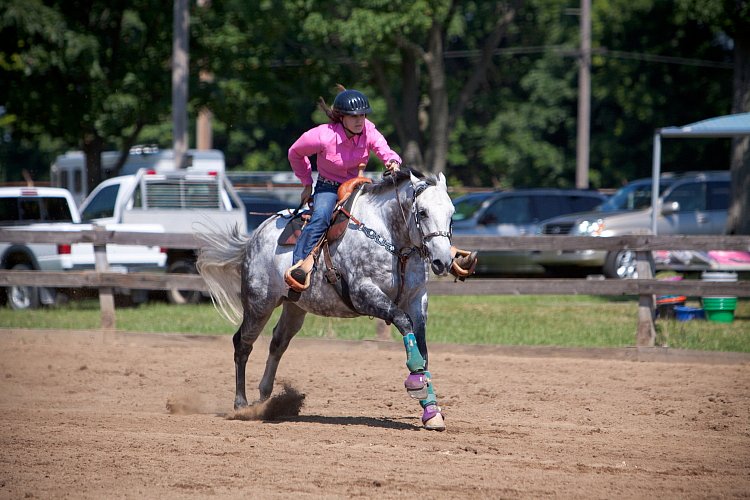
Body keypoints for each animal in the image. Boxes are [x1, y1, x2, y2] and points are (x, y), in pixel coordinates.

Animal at [197, 168, 456, 430]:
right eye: (422, 212)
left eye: (451, 213)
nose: (443, 261)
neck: (391, 241)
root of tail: (254, 236)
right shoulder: (364, 293)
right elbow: (403, 322)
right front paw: (416, 382)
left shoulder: (417, 299)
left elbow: (423, 348)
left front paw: (431, 411)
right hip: (259, 303)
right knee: (242, 344)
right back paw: (241, 404)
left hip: (294, 307)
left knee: (278, 343)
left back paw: (264, 399)